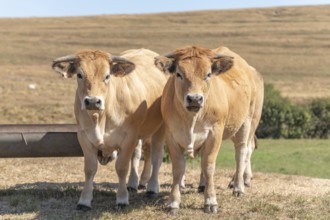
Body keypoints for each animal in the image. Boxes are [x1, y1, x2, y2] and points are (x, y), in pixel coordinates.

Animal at [52, 48, 169, 210]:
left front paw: (122, 198)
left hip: (160, 128)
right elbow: (90, 169)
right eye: (80, 75)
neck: (100, 118)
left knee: (156, 156)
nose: (92, 101)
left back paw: (152, 187)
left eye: (107, 76)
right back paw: (134, 182)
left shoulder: (128, 138)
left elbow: (122, 167)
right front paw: (84, 200)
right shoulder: (84, 138)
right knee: (139, 154)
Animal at [156, 45, 264, 213]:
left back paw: (238, 186)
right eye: (179, 74)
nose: (194, 99)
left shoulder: (214, 134)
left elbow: (208, 166)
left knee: (242, 152)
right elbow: (178, 168)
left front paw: (211, 201)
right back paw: (203, 185)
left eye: (208, 74)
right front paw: (173, 202)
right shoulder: (171, 135)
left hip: (248, 123)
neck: (192, 118)